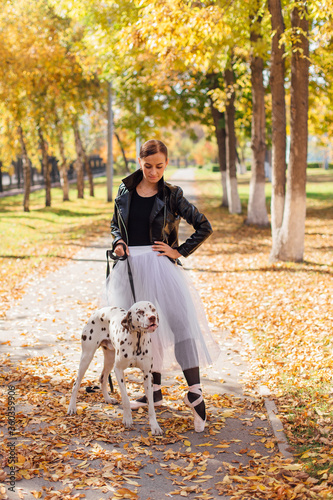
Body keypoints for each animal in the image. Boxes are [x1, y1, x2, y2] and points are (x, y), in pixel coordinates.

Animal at [67, 300, 162, 434]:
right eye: (140, 311)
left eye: (153, 310)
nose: (152, 317)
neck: (137, 340)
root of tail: (98, 311)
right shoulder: (118, 370)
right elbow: (126, 399)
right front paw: (127, 419)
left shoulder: (147, 375)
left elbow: (151, 405)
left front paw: (155, 426)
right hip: (87, 357)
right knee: (76, 383)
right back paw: (72, 407)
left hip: (109, 360)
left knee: (102, 378)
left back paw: (107, 398)